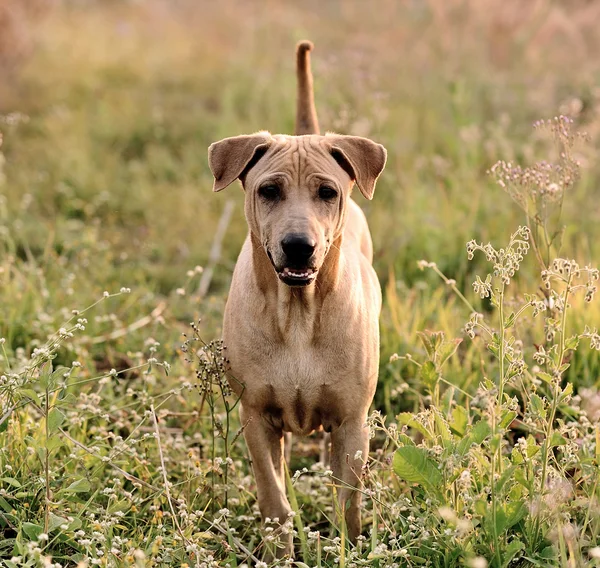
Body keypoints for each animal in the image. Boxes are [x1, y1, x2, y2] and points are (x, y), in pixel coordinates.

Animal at [207, 41, 384, 560]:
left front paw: (347, 549)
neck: (298, 312)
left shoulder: (352, 421)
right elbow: (274, 497)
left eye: (327, 192)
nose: (298, 246)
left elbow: (348, 500)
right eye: (269, 190)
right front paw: (279, 552)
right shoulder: (257, 419)